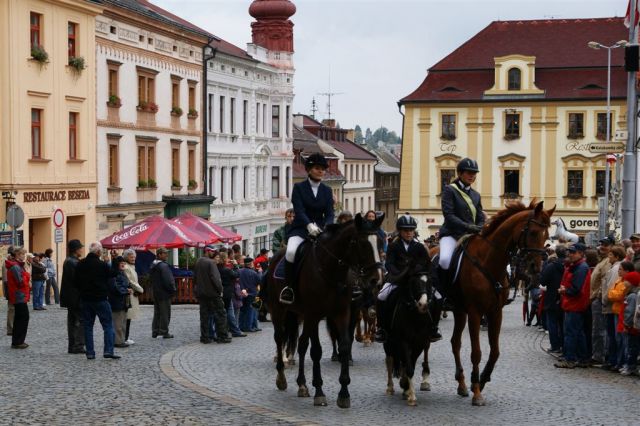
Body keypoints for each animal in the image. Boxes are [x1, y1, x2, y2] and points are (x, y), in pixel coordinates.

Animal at [264, 215, 382, 408]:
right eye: (362, 243)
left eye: (378, 241)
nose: (376, 279)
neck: (331, 271)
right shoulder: (314, 314)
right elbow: (316, 351)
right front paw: (319, 391)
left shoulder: (342, 313)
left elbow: (344, 345)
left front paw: (344, 393)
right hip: (279, 310)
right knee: (280, 338)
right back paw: (282, 378)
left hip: (300, 315)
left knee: (302, 344)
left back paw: (302, 385)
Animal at [424, 200, 556, 406]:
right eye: (534, 232)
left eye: (547, 236)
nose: (536, 268)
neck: (488, 261)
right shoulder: (475, 313)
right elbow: (476, 352)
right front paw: (477, 392)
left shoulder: (495, 312)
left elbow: (495, 352)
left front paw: (481, 380)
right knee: (427, 341)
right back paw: (424, 379)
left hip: (460, 312)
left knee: (455, 343)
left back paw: (461, 384)